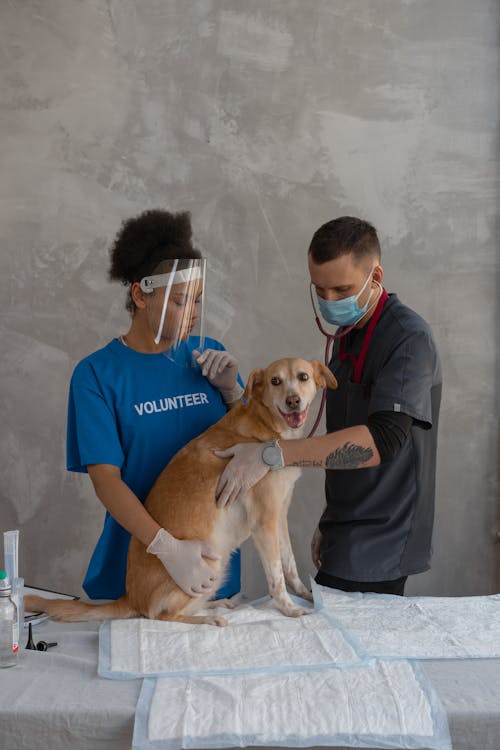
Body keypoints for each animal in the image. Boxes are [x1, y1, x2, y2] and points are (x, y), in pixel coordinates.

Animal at [24, 358, 336, 628]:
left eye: (303, 377)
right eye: (275, 381)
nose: (293, 401)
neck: (267, 428)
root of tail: (130, 598)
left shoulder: (279, 516)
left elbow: (290, 565)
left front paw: (306, 594)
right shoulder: (264, 522)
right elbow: (276, 576)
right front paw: (289, 608)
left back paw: (215, 604)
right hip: (207, 567)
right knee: (160, 616)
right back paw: (208, 618)